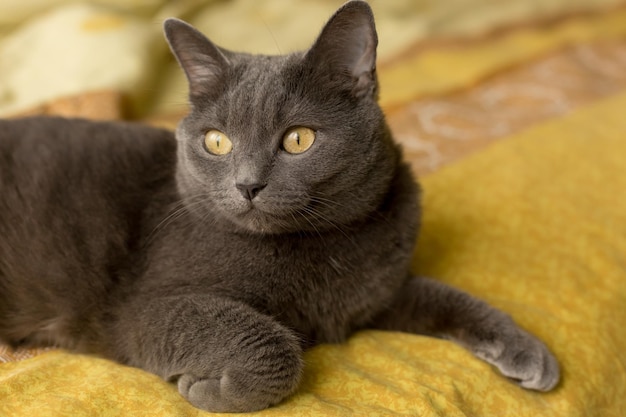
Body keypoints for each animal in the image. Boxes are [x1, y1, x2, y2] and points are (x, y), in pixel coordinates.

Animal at [0, 0, 556, 412]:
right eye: (217, 142)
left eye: (299, 139)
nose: (248, 185)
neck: (326, 249)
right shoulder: (140, 309)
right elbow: (270, 342)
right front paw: (211, 390)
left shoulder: (376, 296)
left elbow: (447, 295)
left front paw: (526, 349)